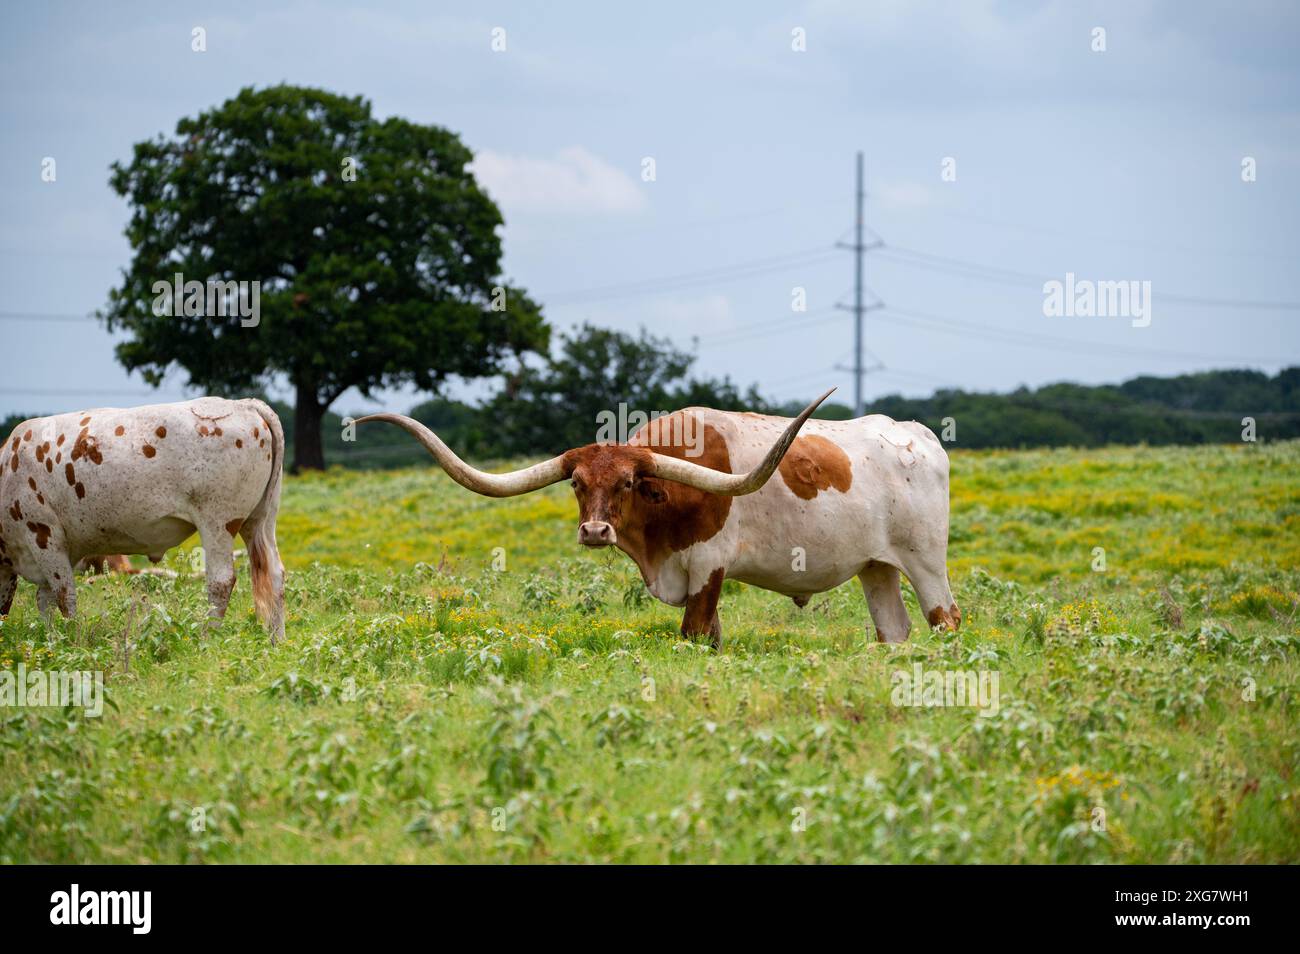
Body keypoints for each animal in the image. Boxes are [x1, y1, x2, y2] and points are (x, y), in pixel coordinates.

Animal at [0, 395, 286, 642]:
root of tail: (244, 404)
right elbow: (44, 599)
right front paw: (51, 639)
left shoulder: (43, 533)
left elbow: (63, 596)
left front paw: (72, 639)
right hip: (261, 520)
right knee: (275, 575)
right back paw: (277, 641)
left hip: (218, 521)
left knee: (221, 581)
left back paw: (207, 638)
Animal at [361, 389, 961, 649]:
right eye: (577, 484)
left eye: (628, 483)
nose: (595, 531)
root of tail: (919, 434)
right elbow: (710, 637)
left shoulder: (709, 566)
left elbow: (694, 632)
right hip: (876, 566)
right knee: (894, 630)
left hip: (926, 561)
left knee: (945, 618)